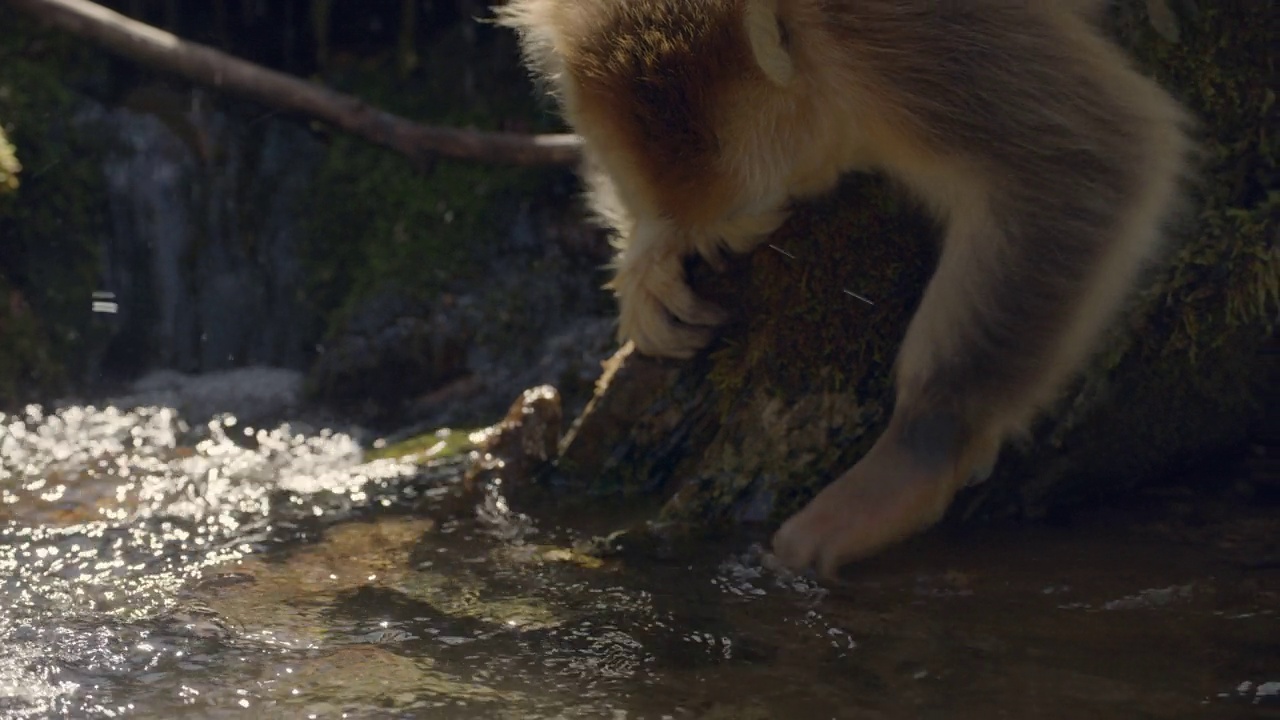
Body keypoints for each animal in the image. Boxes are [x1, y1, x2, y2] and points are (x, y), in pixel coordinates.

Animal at [494, 0, 1192, 573]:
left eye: (748, 217)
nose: (709, 248)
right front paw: (650, 255)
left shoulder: (905, 40)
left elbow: (1084, 162)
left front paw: (918, 453)